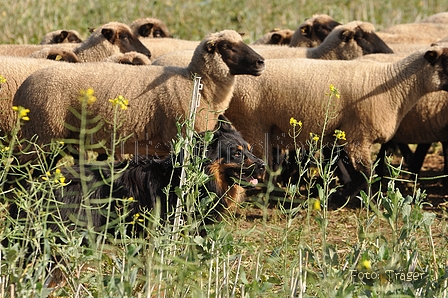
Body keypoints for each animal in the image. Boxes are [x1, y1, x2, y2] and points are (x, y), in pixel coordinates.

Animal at [13, 29, 266, 162]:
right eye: (227, 47)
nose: (261, 62)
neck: (194, 82)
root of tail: (21, 90)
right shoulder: (178, 137)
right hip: (42, 136)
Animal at [224, 46, 448, 200]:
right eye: (447, 62)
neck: (393, 86)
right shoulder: (359, 135)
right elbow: (366, 173)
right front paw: (365, 200)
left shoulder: (349, 135)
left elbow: (360, 171)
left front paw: (349, 194)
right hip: (252, 123)